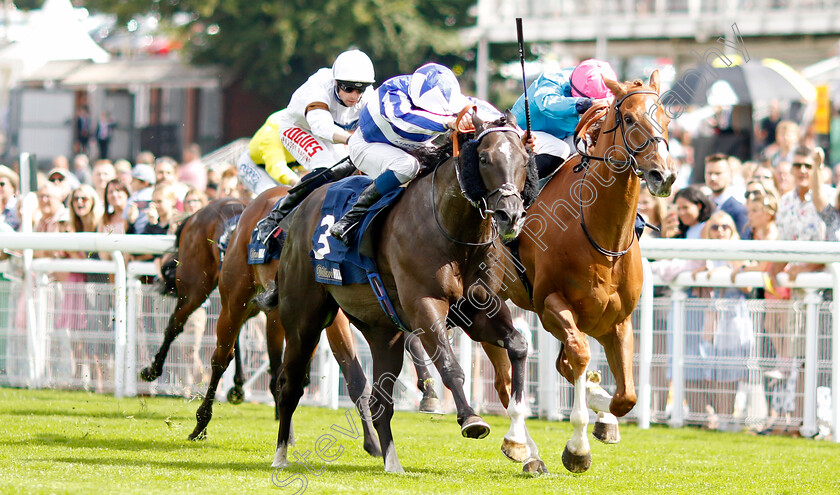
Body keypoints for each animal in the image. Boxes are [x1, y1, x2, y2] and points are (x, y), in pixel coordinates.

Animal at [270, 110, 544, 474]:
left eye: (525, 160)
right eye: (484, 158)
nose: (510, 214)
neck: (454, 230)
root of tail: (300, 209)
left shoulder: (478, 308)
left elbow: (518, 345)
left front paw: (518, 442)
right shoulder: (425, 305)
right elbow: (449, 364)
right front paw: (471, 419)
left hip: (382, 331)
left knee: (378, 401)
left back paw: (392, 462)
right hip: (304, 319)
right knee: (289, 385)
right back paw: (280, 455)